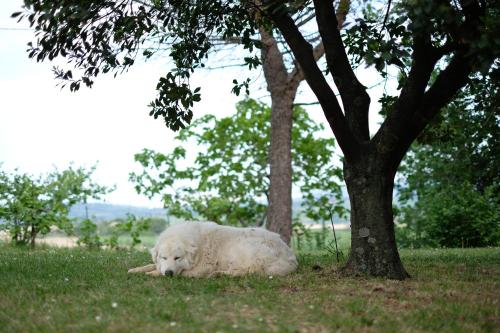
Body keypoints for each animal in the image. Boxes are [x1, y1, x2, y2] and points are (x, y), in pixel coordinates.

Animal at [128, 222, 296, 276]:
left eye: (177, 258)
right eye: (163, 258)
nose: (168, 273)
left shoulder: (202, 267)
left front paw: (153, 274)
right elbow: (150, 265)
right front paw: (136, 269)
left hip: (243, 247)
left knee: (249, 270)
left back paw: (220, 274)